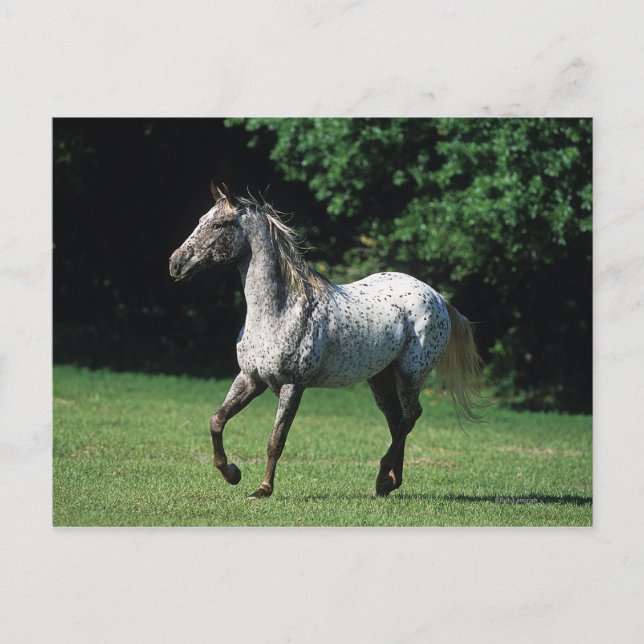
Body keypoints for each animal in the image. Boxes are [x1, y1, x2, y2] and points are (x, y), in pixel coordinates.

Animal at [169, 182, 483, 499]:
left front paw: (263, 489)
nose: (175, 263)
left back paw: (383, 478)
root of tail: (437, 297)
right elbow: (216, 420)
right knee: (397, 421)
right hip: (380, 378)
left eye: (219, 224)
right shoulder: (250, 379)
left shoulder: (292, 386)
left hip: (410, 374)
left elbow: (275, 441)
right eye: (201, 220)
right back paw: (389, 483)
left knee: (410, 416)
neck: (278, 310)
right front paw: (232, 473)